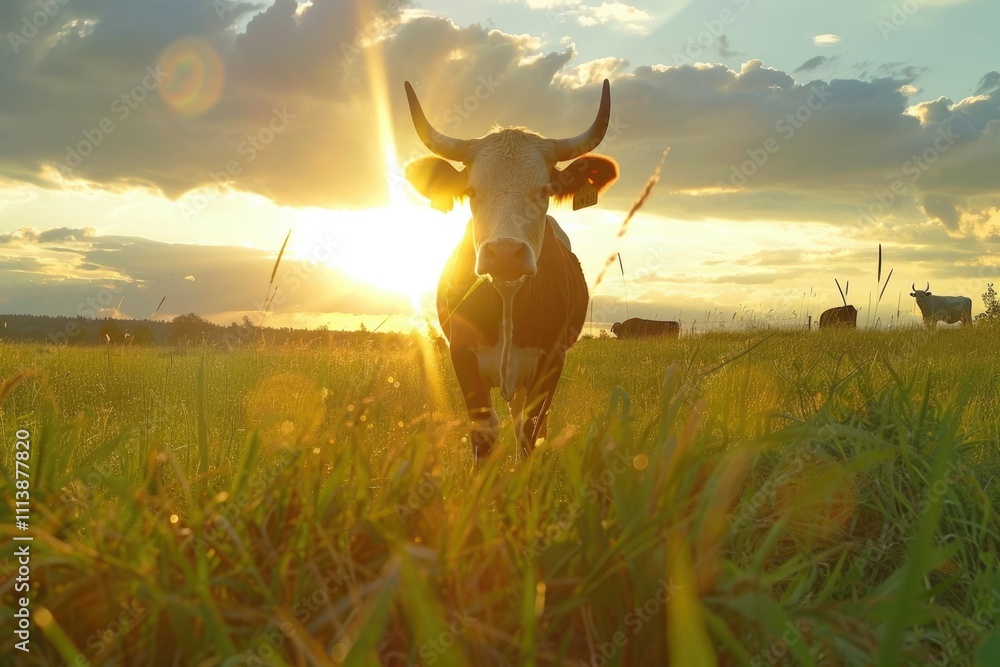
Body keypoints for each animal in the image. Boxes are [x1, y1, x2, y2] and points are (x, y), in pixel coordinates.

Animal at [403, 79, 618, 459]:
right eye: (471, 191)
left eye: (545, 190)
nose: (504, 254)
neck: (506, 296)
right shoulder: (462, 354)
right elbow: (484, 431)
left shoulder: (552, 361)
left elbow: (530, 431)